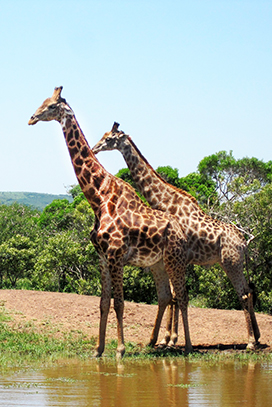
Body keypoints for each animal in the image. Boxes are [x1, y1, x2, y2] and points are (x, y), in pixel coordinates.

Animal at [27, 87, 190, 358]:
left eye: (50, 106)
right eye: (42, 101)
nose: (31, 118)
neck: (98, 197)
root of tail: (182, 231)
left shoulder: (116, 256)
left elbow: (120, 303)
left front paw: (120, 350)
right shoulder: (102, 258)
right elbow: (103, 303)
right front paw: (98, 349)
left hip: (175, 259)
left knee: (183, 296)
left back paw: (185, 346)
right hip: (157, 262)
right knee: (167, 296)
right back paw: (159, 342)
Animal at [92, 122, 262, 350]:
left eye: (109, 139)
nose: (95, 148)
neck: (165, 202)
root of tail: (244, 243)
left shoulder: (177, 257)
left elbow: (173, 296)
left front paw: (168, 339)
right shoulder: (177, 259)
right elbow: (173, 296)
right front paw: (169, 339)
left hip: (230, 263)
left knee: (243, 293)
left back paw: (250, 342)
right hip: (235, 263)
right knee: (249, 291)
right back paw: (258, 337)